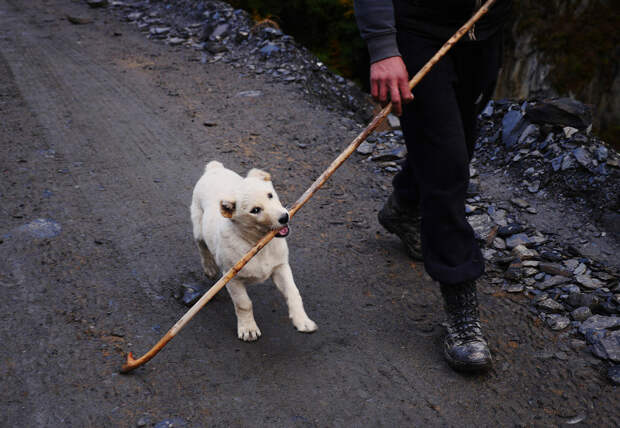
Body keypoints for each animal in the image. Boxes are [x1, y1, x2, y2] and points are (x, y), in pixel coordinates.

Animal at [189, 160, 318, 342]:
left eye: (270, 195)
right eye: (255, 210)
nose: (284, 217)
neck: (258, 244)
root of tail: (215, 169)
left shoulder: (281, 267)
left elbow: (293, 292)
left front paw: (302, 321)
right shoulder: (232, 278)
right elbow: (243, 304)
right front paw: (248, 329)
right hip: (198, 227)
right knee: (202, 247)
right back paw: (210, 268)